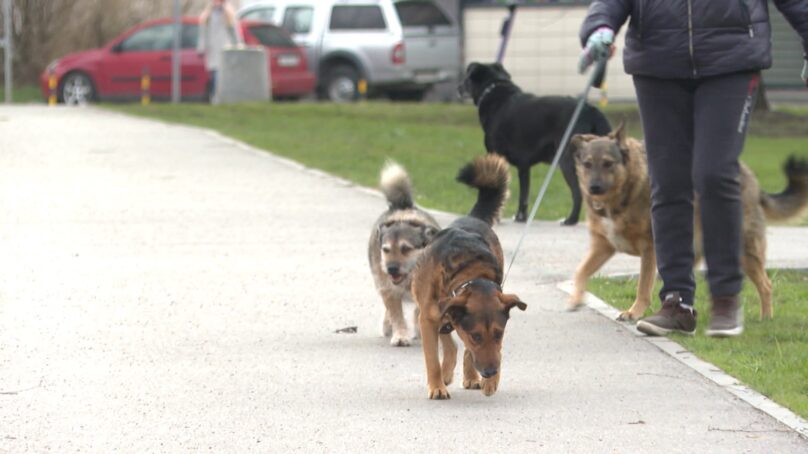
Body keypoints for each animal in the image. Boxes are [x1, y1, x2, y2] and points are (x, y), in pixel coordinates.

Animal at [410, 154, 524, 400]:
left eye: (499, 334)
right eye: (476, 336)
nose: (490, 372)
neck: (471, 276)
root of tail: (473, 217)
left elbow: (480, 352)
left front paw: (489, 381)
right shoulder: (428, 318)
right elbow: (432, 359)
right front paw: (437, 386)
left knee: (458, 347)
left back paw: (471, 376)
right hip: (438, 313)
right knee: (450, 345)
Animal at [458, 62, 608, 225]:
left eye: (466, 79)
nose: (458, 87)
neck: (493, 88)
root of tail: (592, 111)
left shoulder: (497, 157)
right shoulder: (524, 166)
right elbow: (524, 195)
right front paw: (521, 218)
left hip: (568, 161)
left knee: (579, 193)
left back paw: (570, 220)